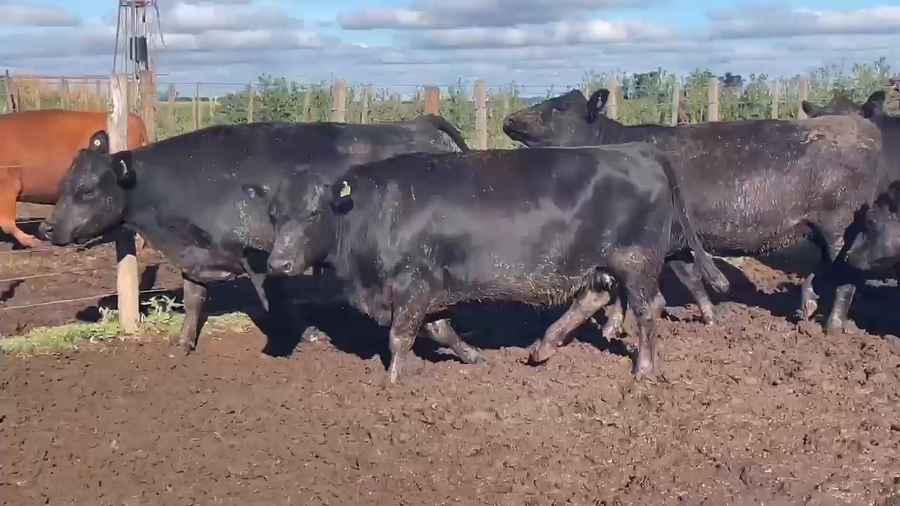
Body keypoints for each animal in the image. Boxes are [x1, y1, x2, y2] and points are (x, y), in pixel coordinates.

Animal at [39, 116, 471, 354]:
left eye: (87, 190)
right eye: (63, 183)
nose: (46, 227)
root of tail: (420, 123)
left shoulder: (262, 255)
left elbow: (273, 302)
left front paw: (304, 336)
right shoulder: (196, 258)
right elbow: (193, 302)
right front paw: (183, 346)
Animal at [263, 143, 730, 383]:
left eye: (313, 212)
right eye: (273, 214)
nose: (278, 263)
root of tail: (640, 151)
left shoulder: (413, 283)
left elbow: (400, 337)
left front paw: (393, 381)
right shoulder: (430, 287)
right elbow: (440, 328)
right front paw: (472, 357)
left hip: (635, 261)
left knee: (649, 309)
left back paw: (643, 369)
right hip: (599, 263)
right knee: (593, 298)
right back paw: (543, 347)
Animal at [502, 88, 886, 335]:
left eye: (561, 107)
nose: (509, 118)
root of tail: (865, 130)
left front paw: (612, 327)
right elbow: (691, 279)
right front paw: (710, 316)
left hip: (839, 226)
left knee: (846, 276)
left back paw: (832, 326)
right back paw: (807, 307)